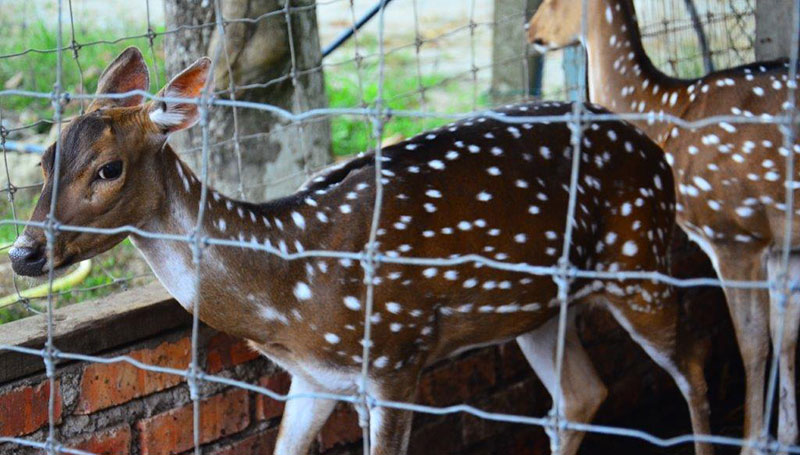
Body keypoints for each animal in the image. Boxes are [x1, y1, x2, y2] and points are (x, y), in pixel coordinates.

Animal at [532, 1, 800, 454]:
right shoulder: (783, 245)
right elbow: (787, 335)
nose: (530, 32)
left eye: (553, 1)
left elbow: (751, 341)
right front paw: (785, 438)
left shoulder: (733, 232)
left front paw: (751, 443)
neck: (667, 113)